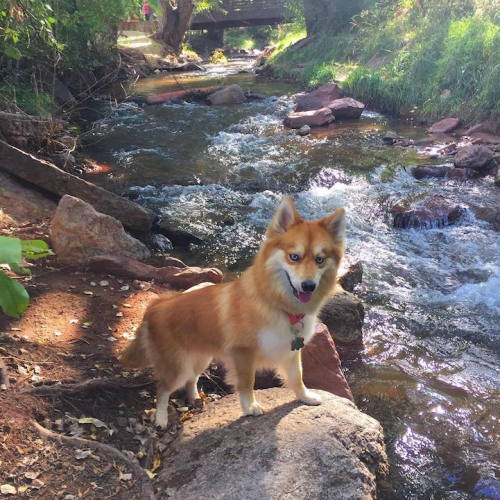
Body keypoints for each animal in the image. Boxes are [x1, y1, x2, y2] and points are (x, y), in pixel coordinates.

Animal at [121, 197, 344, 428]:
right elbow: (247, 382)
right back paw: (161, 418)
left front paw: (305, 397)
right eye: (294, 257)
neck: (275, 303)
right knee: (163, 389)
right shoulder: (243, 353)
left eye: (320, 259)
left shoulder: (290, 350)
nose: (308, 286)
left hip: (200, 358)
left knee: (191, 379)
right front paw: (250, 407)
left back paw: (194, 397)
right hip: (178, 366)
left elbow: (297, 377)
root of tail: (155, 306)